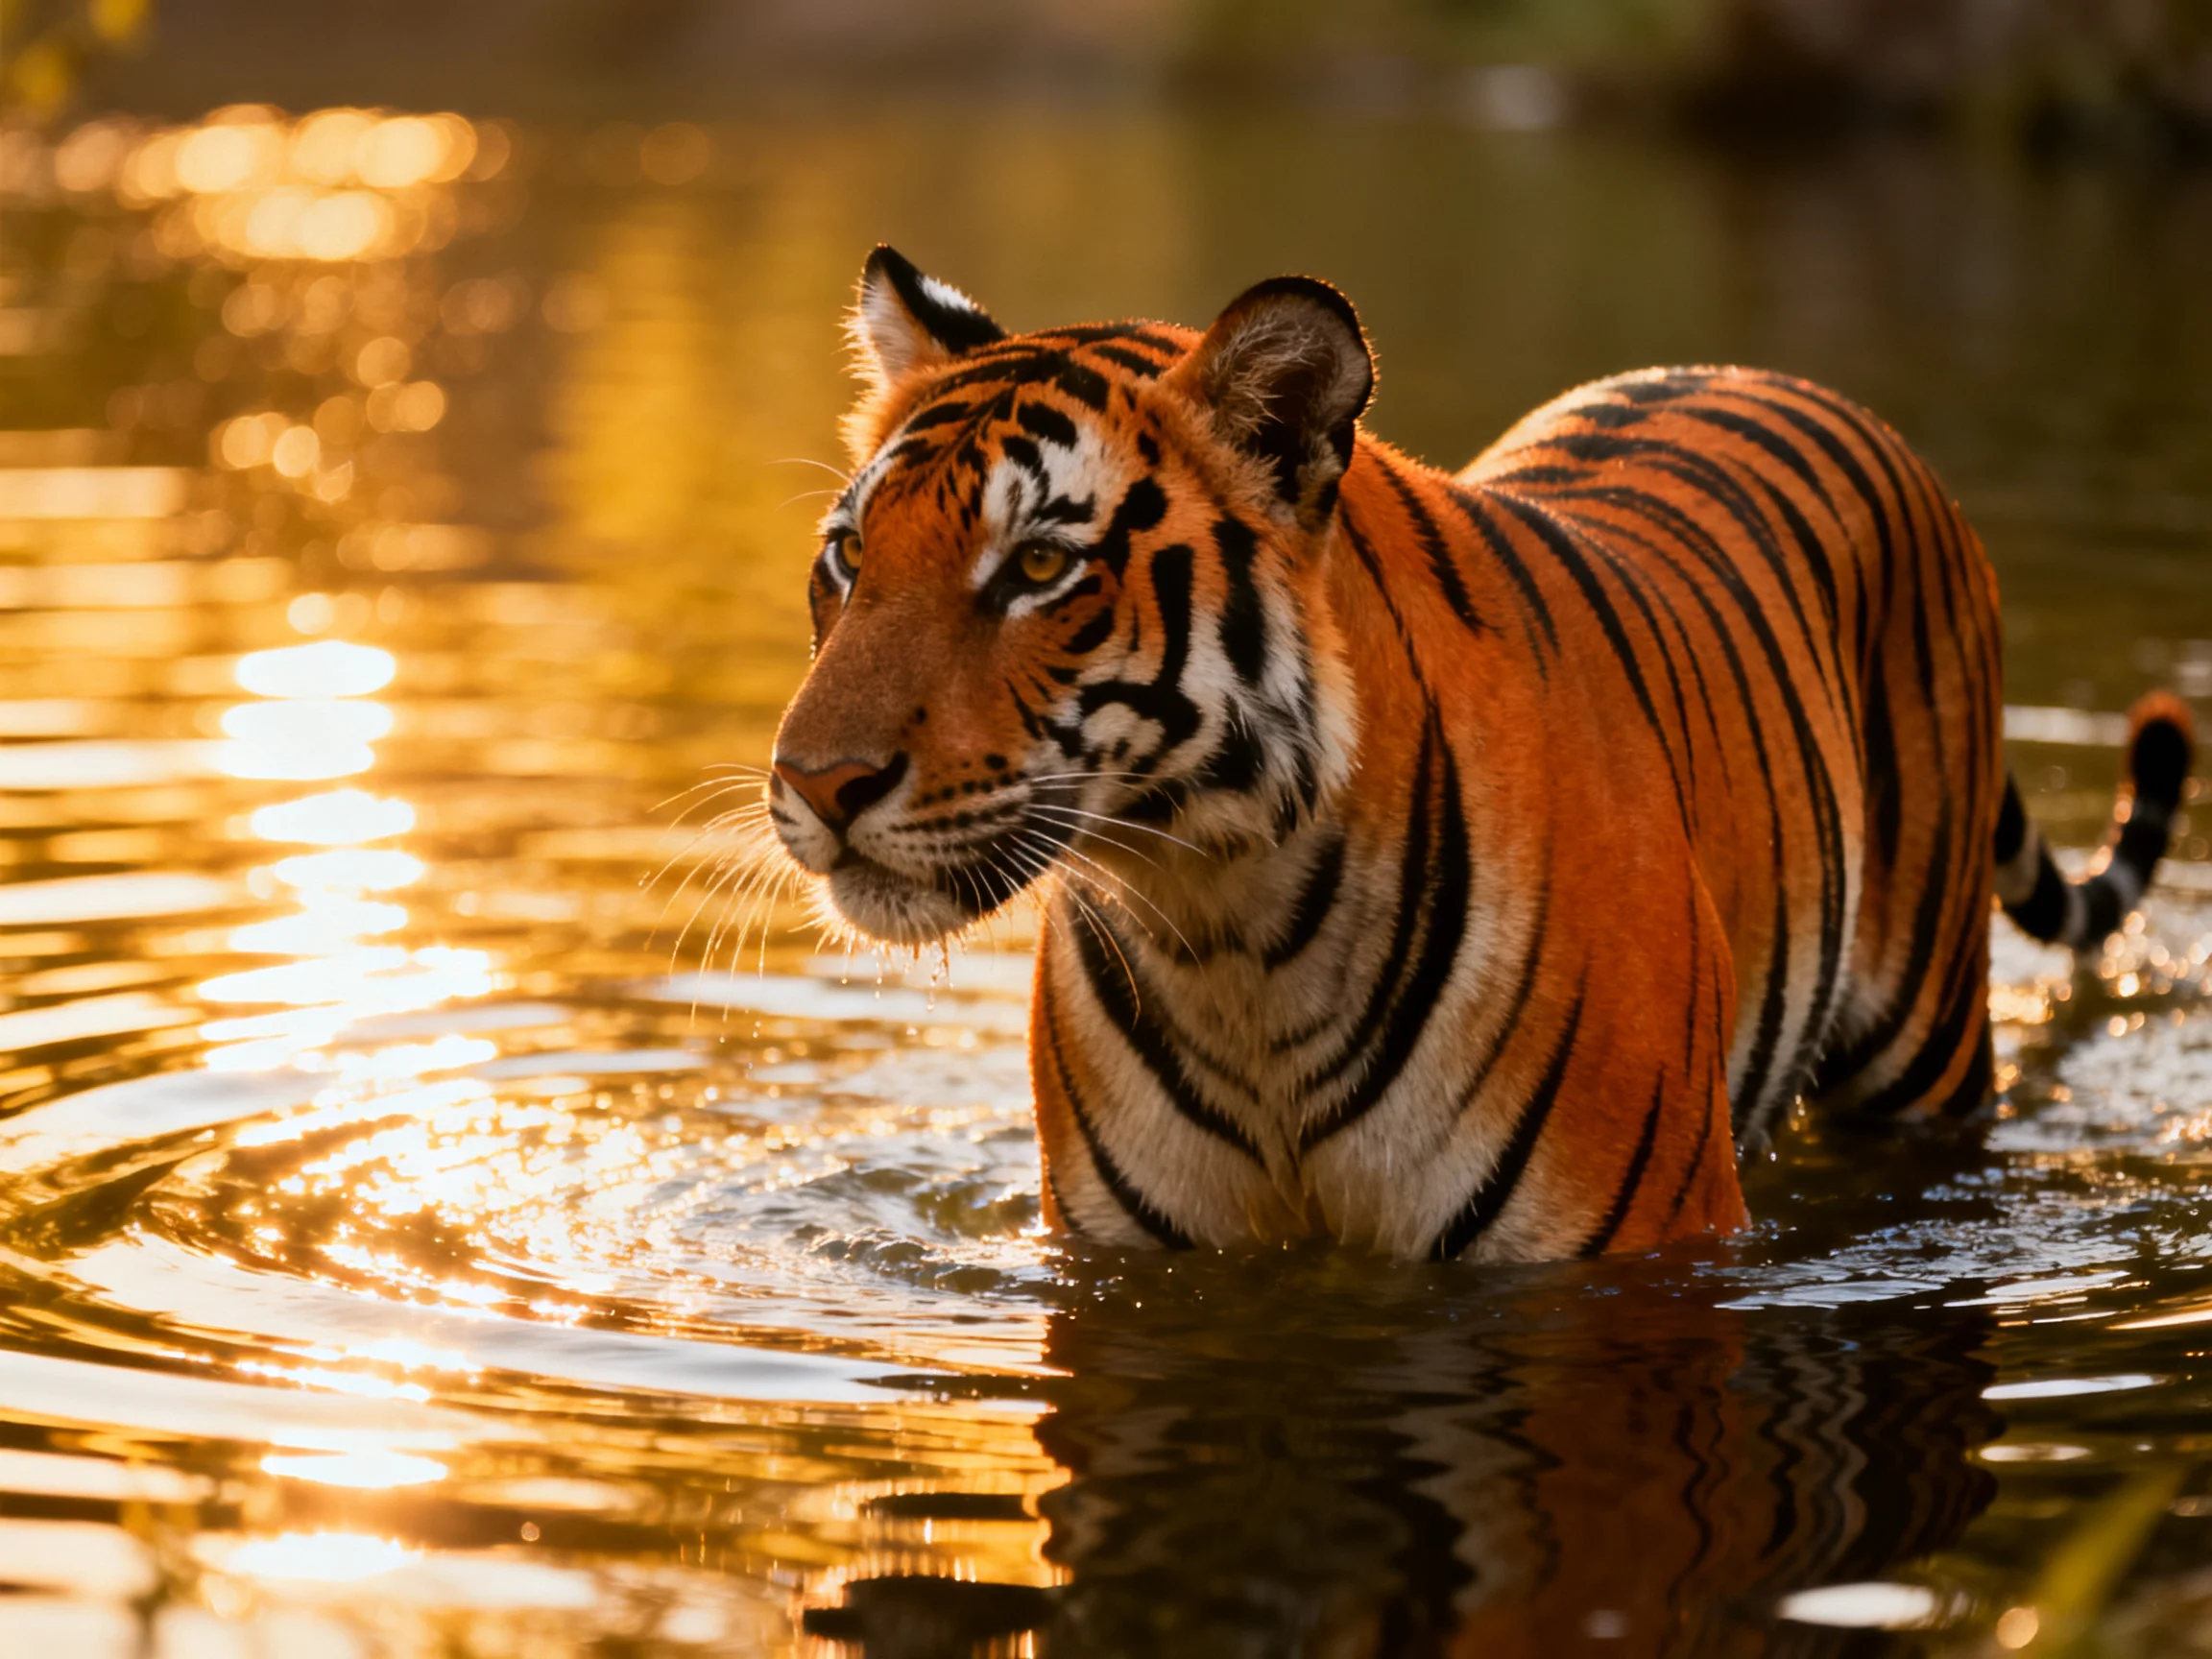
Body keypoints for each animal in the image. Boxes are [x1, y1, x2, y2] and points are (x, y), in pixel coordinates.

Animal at [766, 244, 2197, 1263]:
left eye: (1039, 568)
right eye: (850, 554)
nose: (814, 786)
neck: (1230, 936)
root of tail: (1807, 387)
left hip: (1926, 1052)